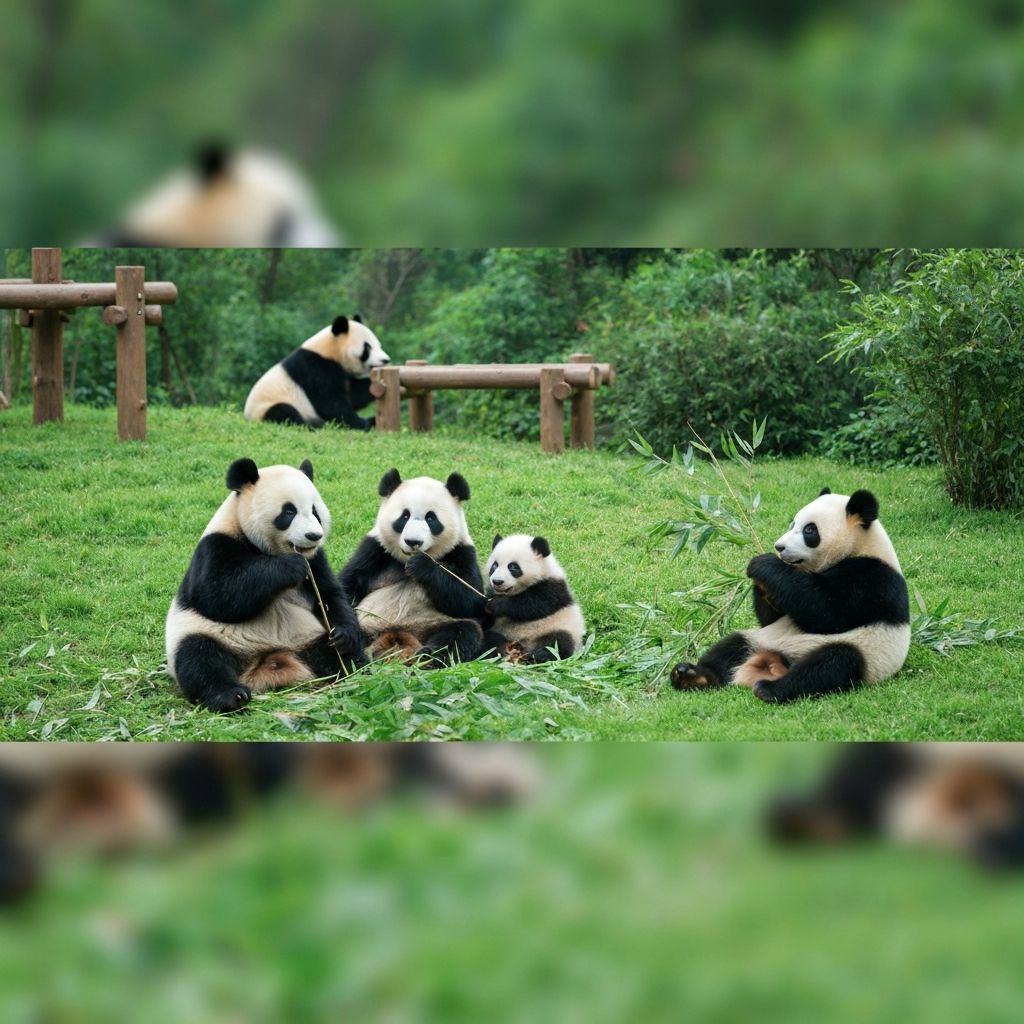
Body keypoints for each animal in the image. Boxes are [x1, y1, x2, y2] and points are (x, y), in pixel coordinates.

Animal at [165, 458, 365, 713]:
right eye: (289, 511)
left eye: (315, 511)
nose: (314, 536)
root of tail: (271, 660)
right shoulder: (216, 547)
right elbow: (217, 595)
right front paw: (291, 567)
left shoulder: (317, 560)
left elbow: (331, 594)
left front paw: (342, 634)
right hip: (206, 635)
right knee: (200, 659)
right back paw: (231, 696)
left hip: (306, 639)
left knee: (341, 655)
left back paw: (355, 669)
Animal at [243, 315, 390, 431]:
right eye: (368, 348)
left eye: (379, 345)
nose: (386, 360)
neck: (329, 351)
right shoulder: (315, 368)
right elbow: (331, 402)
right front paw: (359, 424)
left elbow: (352, 395)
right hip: (265, 408)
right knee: (284, 412)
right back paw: (313, 426)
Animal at [339, 469, 486, 666]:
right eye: (405, 516)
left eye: (431, 518)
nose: (413, 542)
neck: (405, 562)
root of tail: (398, 634)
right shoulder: (374, 551)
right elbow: (348, 584)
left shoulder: (462, 552)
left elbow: (471, 599)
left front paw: (422, 566)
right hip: (367, 622)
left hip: (434, 624)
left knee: (463, 633)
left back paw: (428, 656)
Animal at [482, 535, 586, 663]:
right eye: (494, 565)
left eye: (513, 567)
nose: (497, 581)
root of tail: (523, 645)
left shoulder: (553, 587)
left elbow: (532, 605)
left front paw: (497, 604)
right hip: (501, 631)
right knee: (489, 639)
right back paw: (499, 650)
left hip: (560, 627)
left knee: (558, 643)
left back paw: (540, 655)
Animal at [670, 488, 910, 703]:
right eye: (792, 524)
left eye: (810, 530)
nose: (779, 547)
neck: (860, 546)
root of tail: (773, 664)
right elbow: (773, 617)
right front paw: (764, 588)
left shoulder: (873, 578)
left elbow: (826, 612)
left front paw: (762, 564)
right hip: (761, 638)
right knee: (732, 645)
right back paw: (693, 676)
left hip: (865, 652)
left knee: (831, 665)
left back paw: (770, 689)